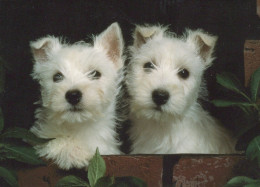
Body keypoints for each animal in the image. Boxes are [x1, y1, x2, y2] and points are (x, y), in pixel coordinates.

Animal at [30, 22, 124, 169]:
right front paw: (74, 151)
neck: (78, 128)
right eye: (57, 76)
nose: (73, 95)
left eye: (95, 73)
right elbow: (56, 139)